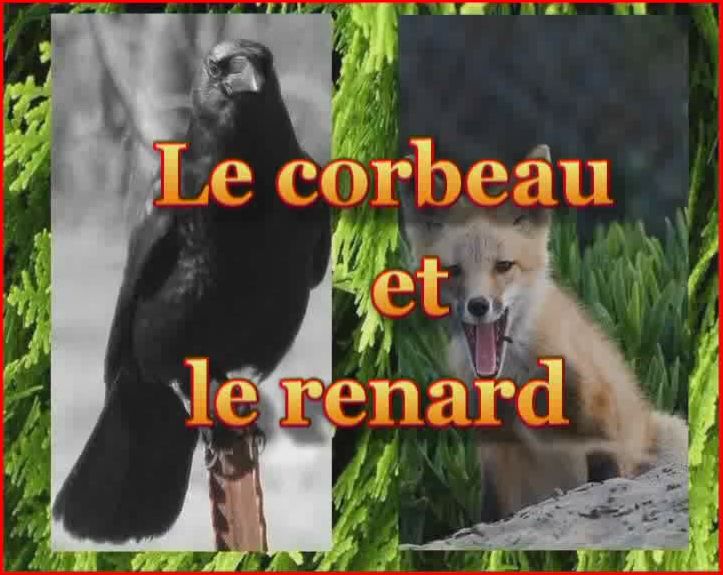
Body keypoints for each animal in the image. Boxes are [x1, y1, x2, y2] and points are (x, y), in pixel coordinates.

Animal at [400, 144, 688, 522]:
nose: (478, 305)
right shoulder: (496, 450)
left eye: (504, 266)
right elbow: (492, 511)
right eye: (453, 271)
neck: (516, 380)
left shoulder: (598, 420)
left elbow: (605, 475)